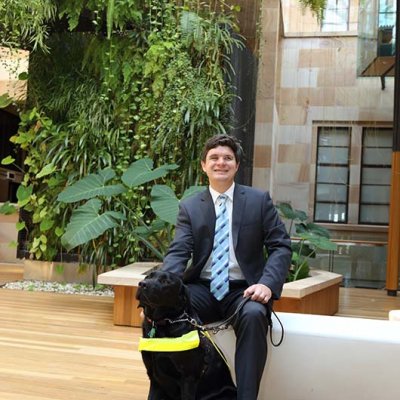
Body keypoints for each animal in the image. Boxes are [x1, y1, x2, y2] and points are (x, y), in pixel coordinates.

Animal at [136, 270, 236, 398]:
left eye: (165, 281)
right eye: (148, 276)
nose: (142, 284)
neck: (165, 322)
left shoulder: (188, 378)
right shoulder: (154, 376)